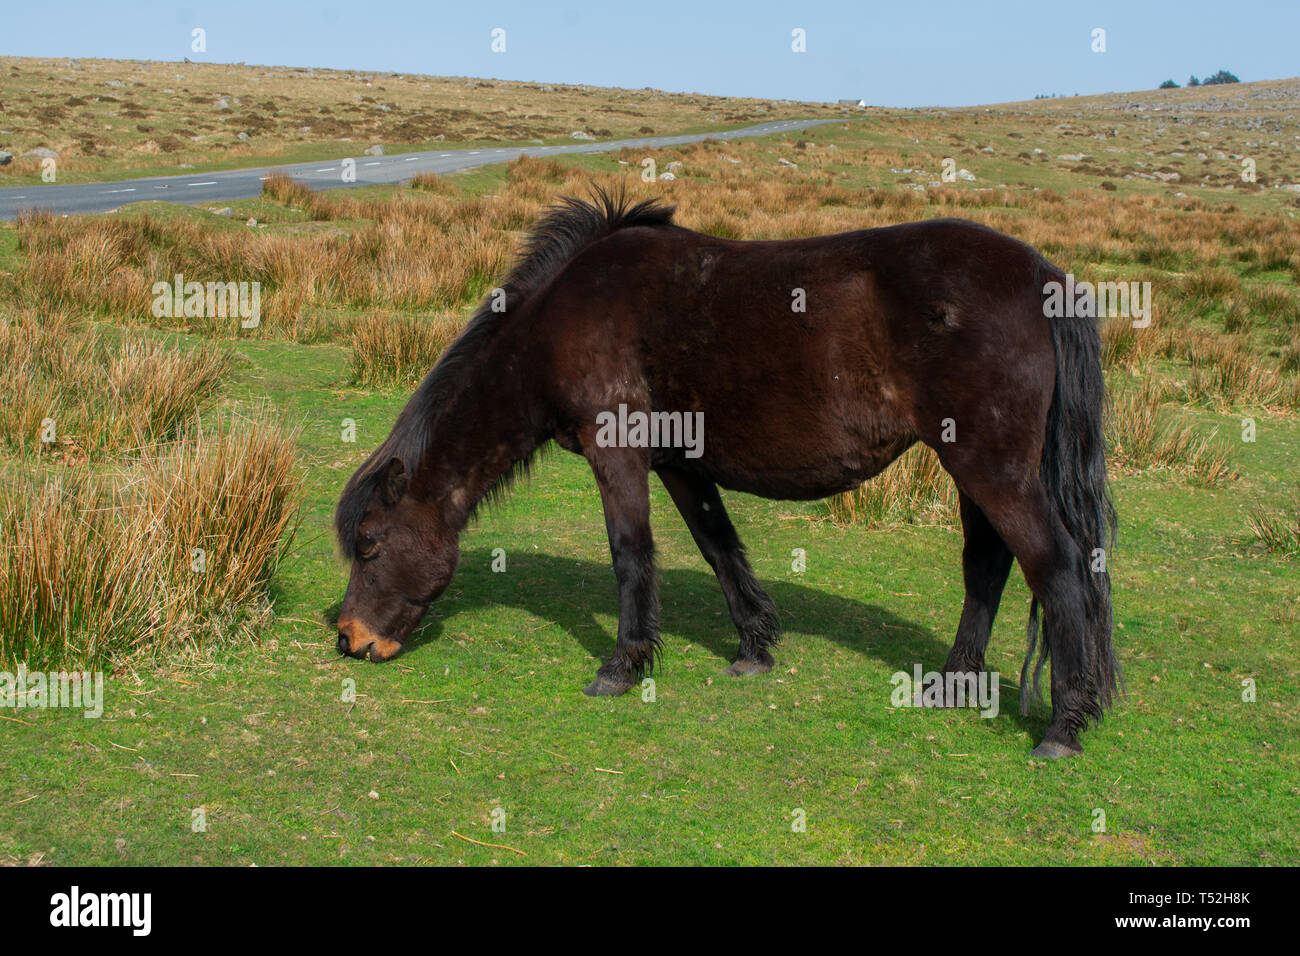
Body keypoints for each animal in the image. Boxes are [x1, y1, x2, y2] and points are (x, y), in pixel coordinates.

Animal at [335, 187, 1118, 758]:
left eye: (370, 545)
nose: (351, 640)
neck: (563, 317)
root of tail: (1045, 277)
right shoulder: (680, 462)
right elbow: (717, 546)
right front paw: (753, 647)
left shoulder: (617, 451)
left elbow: (631, 554)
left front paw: (622, 666)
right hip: (972, 471)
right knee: (986, 564)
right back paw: (952, 684)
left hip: (992, 469)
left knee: (1055, 568)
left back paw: (1063, 726)